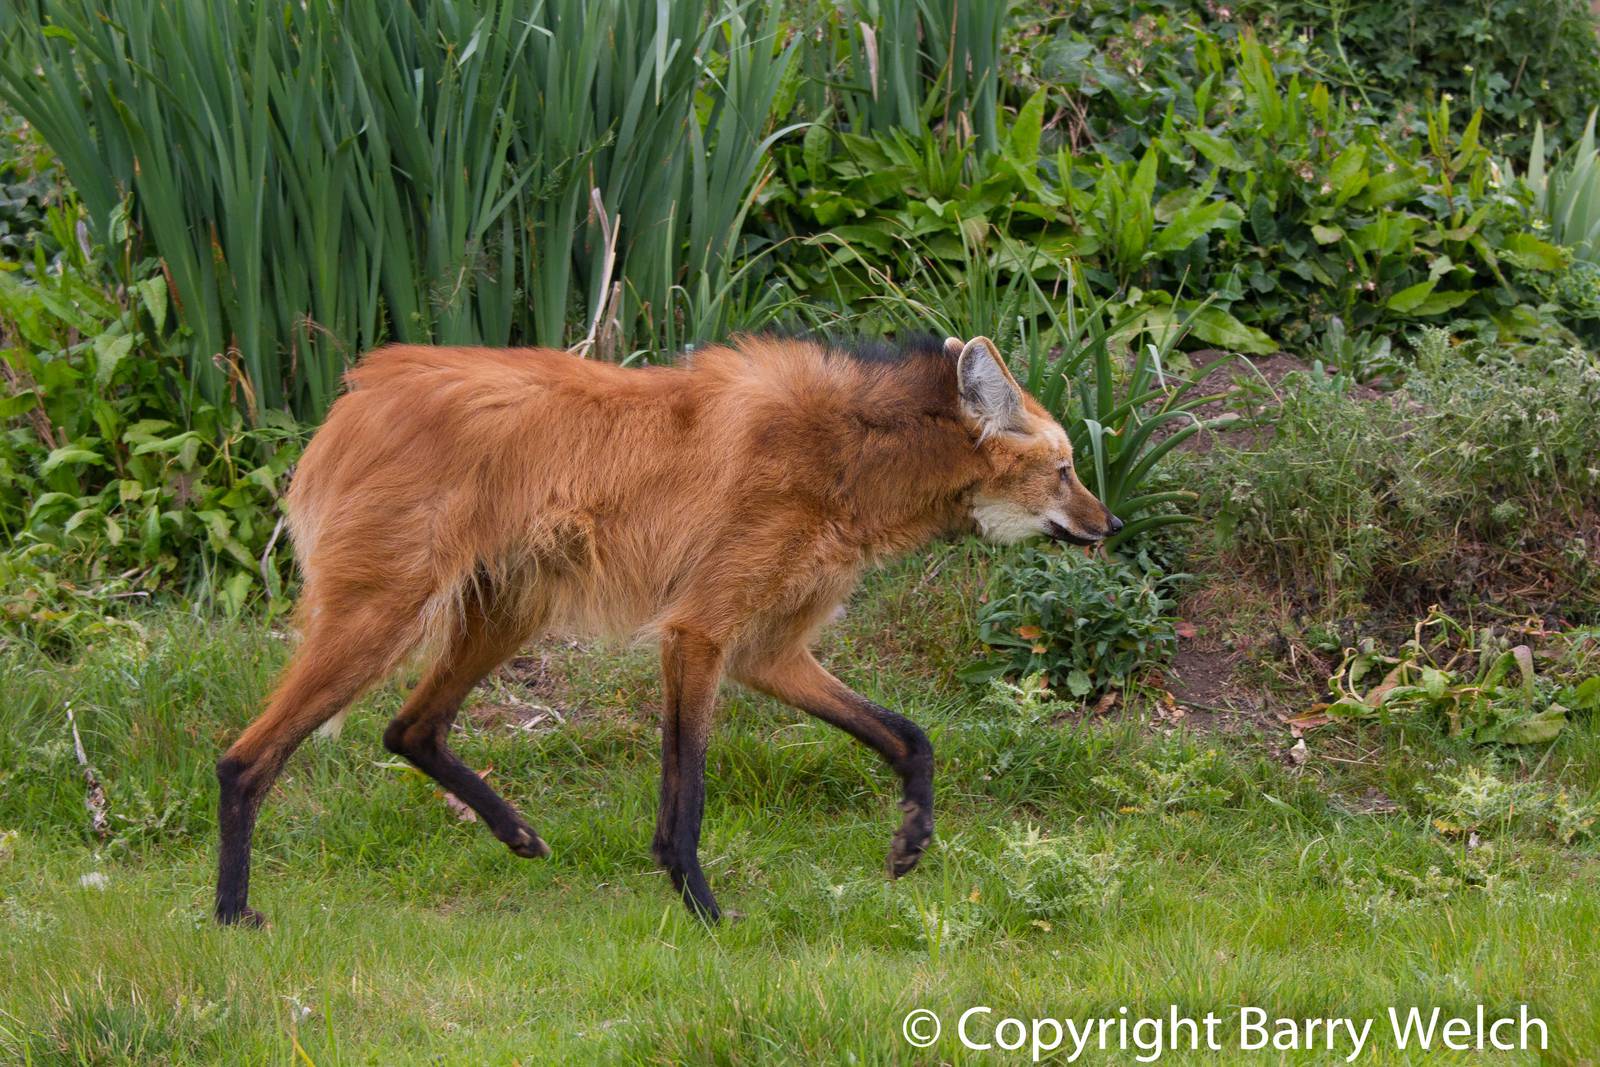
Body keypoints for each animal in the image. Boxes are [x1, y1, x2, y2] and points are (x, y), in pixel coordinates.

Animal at [215, 333, 1120, 925]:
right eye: (1066, 469)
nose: (1109, 525)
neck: (848, 457)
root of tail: (354, 396)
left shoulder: (767, 650)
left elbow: (909, 735)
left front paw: (910, 843)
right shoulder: (698, 632)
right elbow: (687, 794)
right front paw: (706, 910)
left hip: (512, 607)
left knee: (411, 726)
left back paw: (518, 834)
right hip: (388, 614)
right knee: (245, 757)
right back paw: (232, 913)